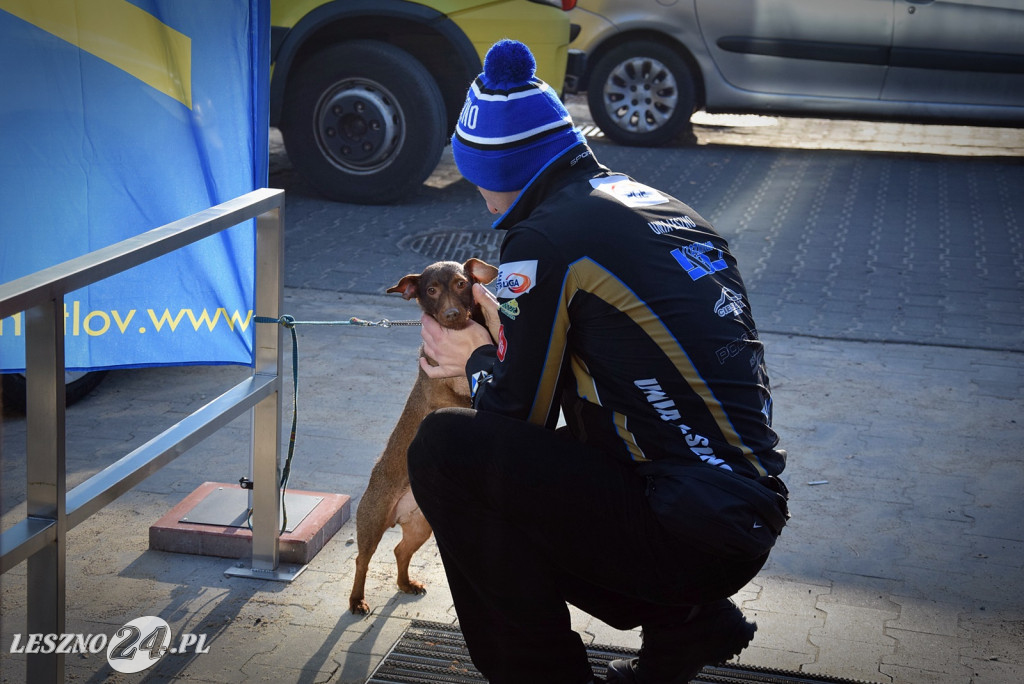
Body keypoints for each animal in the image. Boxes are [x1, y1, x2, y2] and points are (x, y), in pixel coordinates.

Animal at [348, 255, 499, 614]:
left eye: (462, 283)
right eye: (430, 290)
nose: (452, 314)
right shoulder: (441, 391)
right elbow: (462, 398)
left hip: (421, 527)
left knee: (400, 551)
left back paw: (406, 584)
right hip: (372, 523)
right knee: (362, 560)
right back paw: (357, 600)